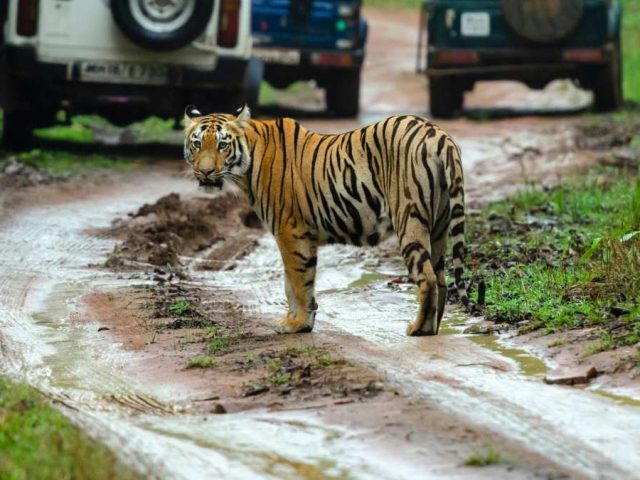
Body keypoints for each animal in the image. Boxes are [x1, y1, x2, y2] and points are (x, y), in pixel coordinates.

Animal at [183, 105, 469, 336]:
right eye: (197, 144)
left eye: (222, 145)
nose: (205, 172)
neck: (248, 164)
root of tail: (438, 134)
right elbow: (291, 282)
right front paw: (296, 320)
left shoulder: (290, 231)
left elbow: (298, 282)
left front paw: (297, 324)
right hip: (439, 226)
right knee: (441, 279)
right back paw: (433, 327)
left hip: (410, 219)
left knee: (427, 278)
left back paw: (418, 328)